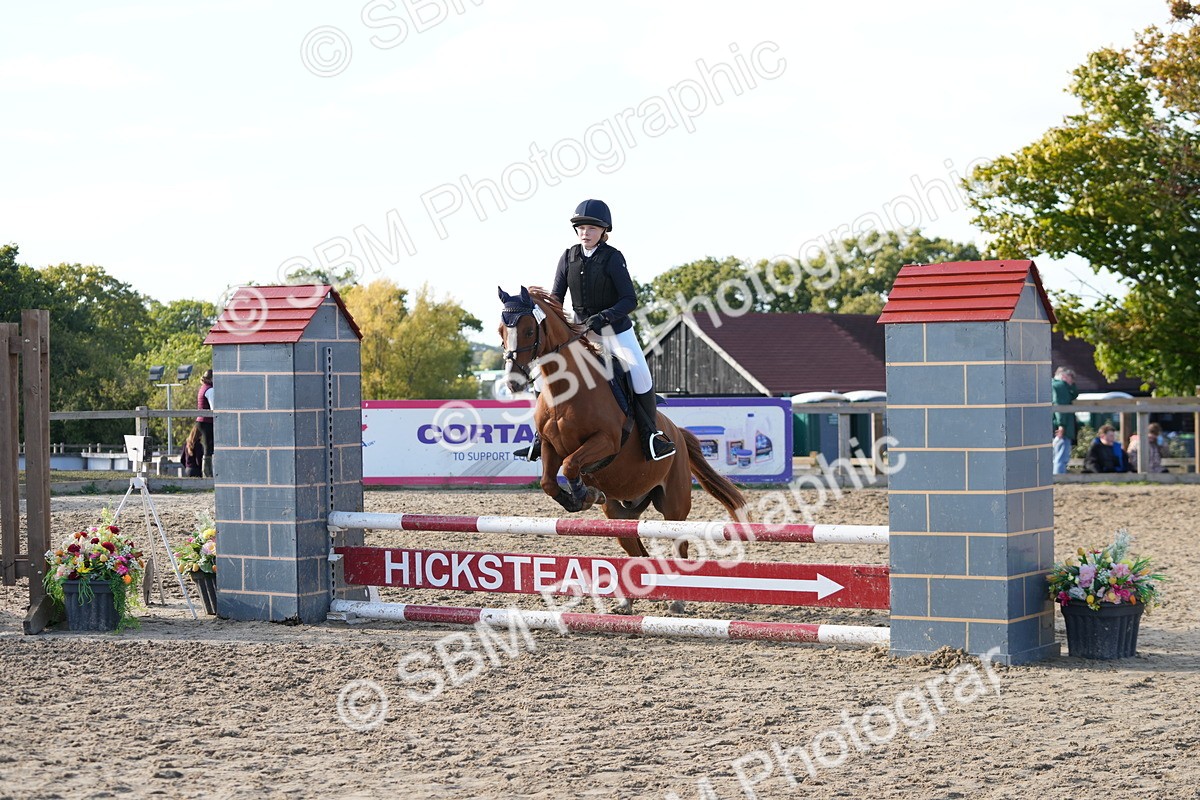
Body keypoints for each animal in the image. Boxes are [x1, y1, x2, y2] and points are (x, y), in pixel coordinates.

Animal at [498, 286, 749, 610]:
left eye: (529, 330)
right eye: (501, 331)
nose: (513, 383)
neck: (565, 389)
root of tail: (678, 435)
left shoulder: (605, 441)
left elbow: (571, 465)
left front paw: (585, 494)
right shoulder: (550, 448)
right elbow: (549, 481)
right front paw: (578, 498)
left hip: (673, 504)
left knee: (678, 541)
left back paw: (677, 600)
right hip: (620, 513)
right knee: (635, 549)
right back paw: (628, 601)